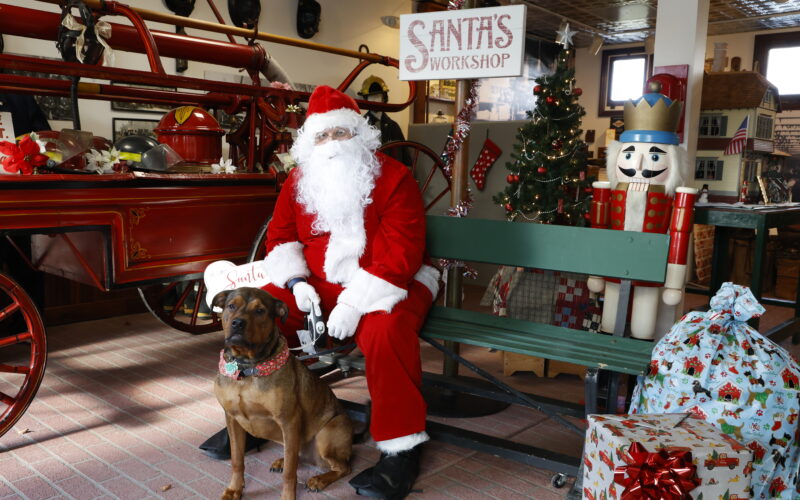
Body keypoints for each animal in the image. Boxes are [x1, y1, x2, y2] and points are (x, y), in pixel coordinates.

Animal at [214, 286, 352, 500]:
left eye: (260, 311)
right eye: (231, 306)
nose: (238, 323)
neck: (247, 369)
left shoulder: (289, 420)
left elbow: (290, 473)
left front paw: (287, 495)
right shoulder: (232, 419)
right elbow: (237, 460)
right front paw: (234, 489)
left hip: (326, 434)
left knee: (342, 467)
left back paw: (319, 480)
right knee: (295, 456)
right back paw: (282, 461)